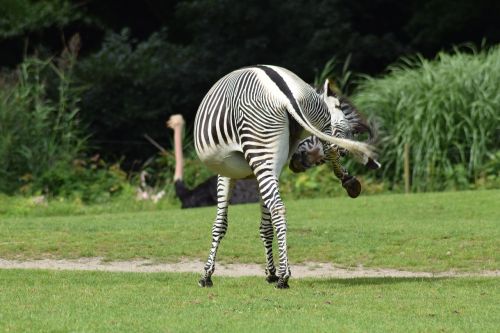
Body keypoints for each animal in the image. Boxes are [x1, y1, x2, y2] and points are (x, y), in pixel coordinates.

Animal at [193, 65, 376, 288]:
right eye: (340, 106)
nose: (355, 138)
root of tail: (286, 94)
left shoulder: (226, 173)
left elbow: (220, 224)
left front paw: (206, 275)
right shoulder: (266, 171)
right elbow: (265, 226)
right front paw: (270, 272)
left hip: (261, 149)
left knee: (278, 208)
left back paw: (284, 277)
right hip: (308, 129)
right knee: (329, 149)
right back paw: (349, 182)